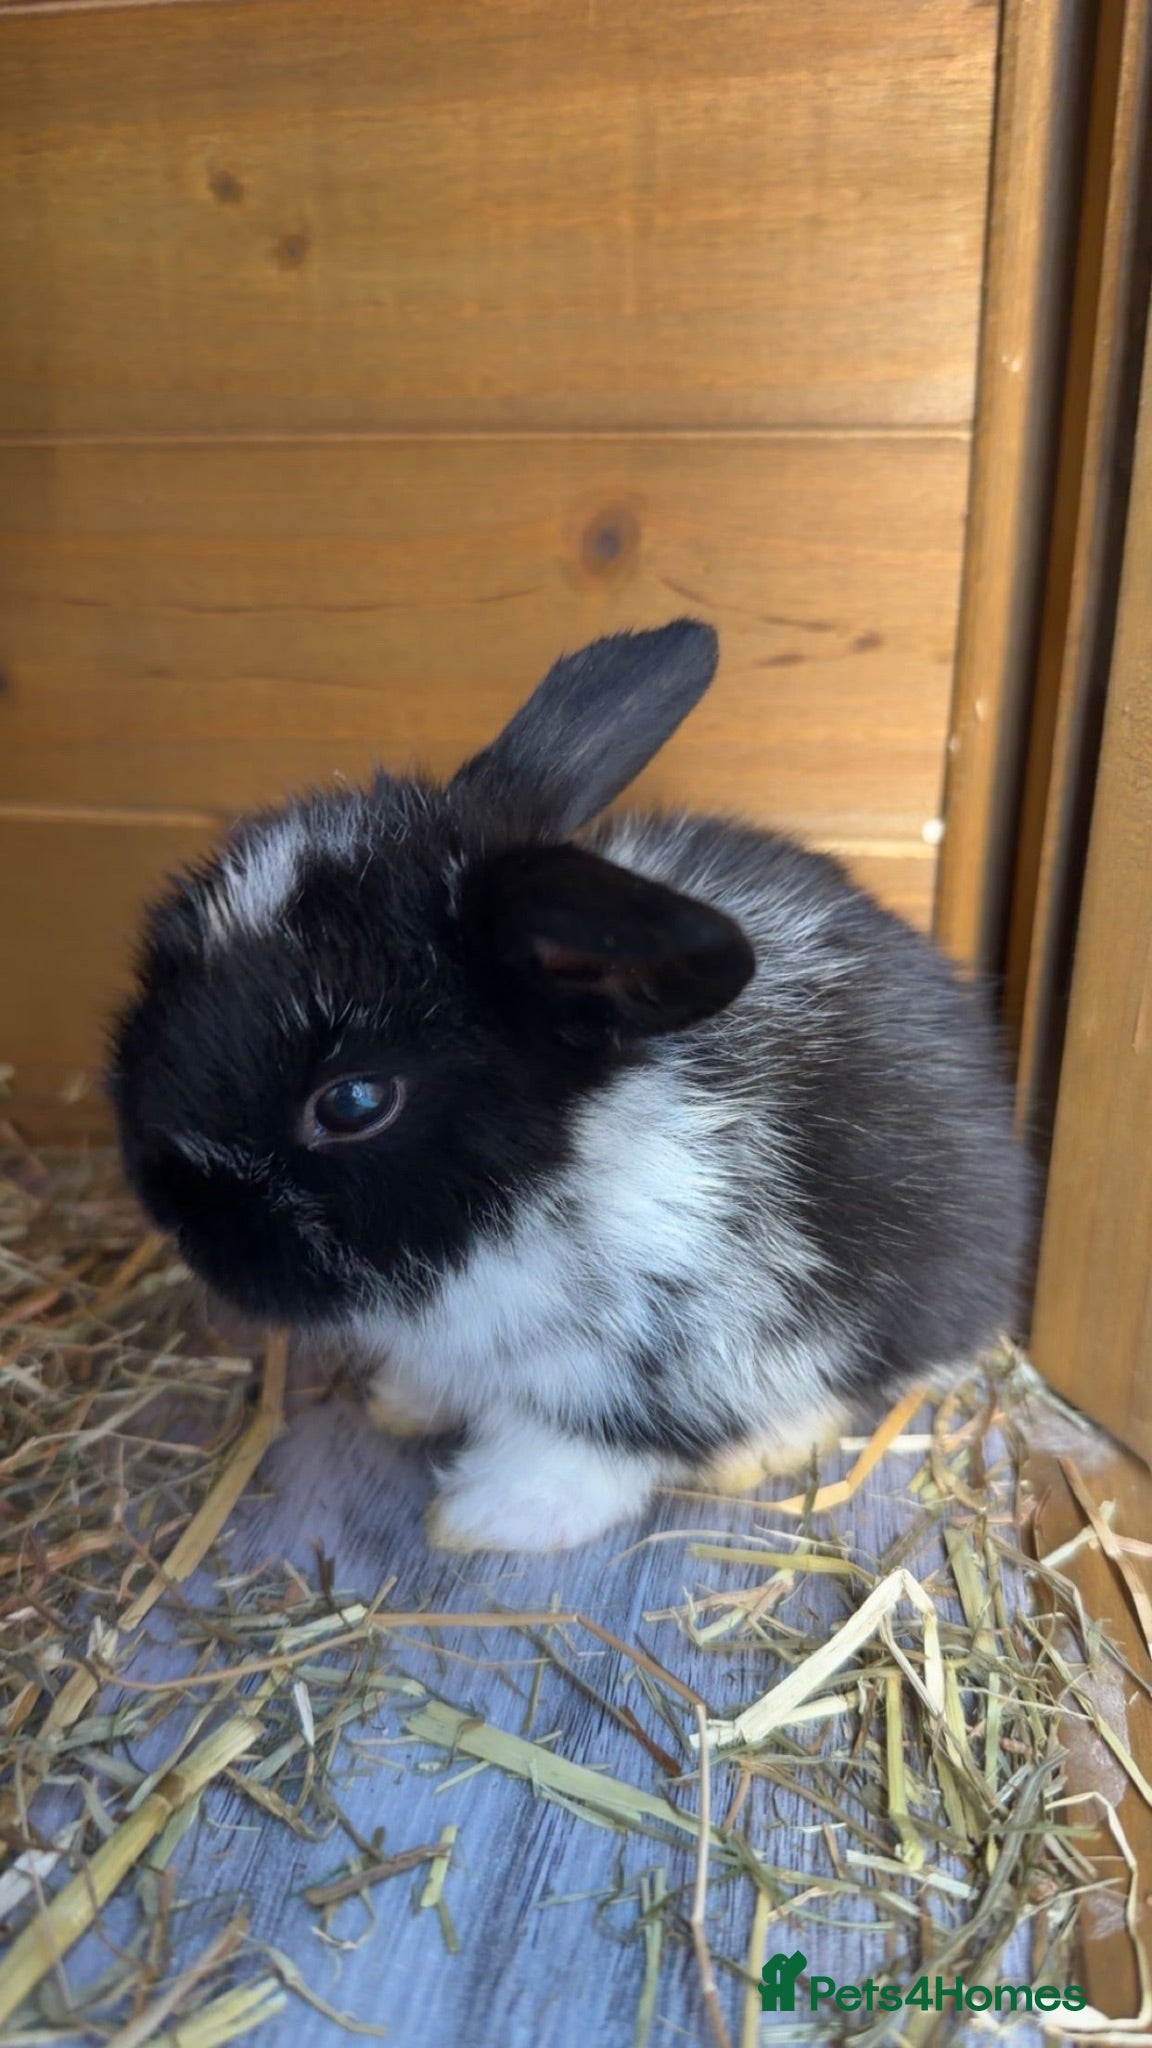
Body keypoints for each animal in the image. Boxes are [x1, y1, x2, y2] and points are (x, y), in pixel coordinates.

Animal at [110, 619, 1032, 1553]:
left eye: (353, 1102)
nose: (173, 1216)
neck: (541, 1186)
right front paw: (403, 1407)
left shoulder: (668, 1360)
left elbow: (584, 1451)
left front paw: (479, 1516)